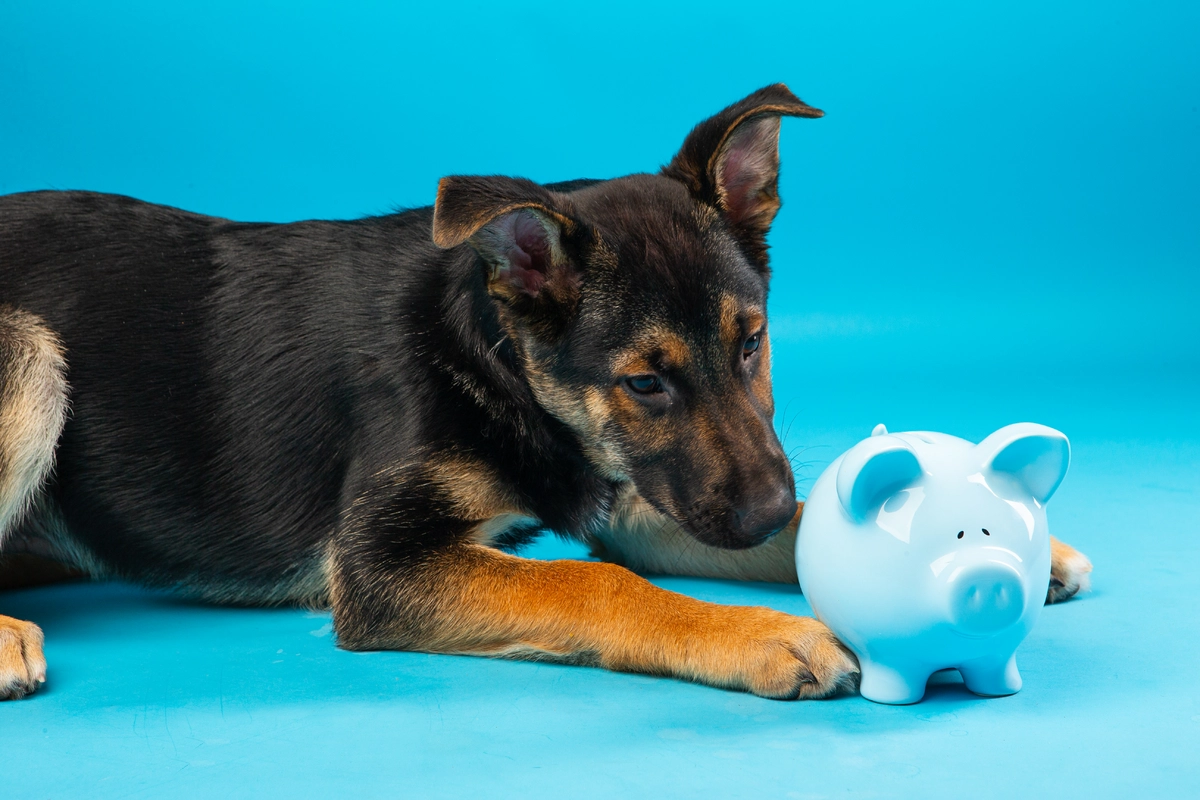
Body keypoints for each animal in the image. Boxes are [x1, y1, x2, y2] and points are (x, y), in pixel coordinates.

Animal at [0, 86, 1094, 700]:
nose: (762, 507)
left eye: (751, 343)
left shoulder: (643, 492)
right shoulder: (382, 564)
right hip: (31, 353)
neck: (493, 360)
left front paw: (1025, 545)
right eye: (644, 380)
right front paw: (766, 632)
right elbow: (595, 584)